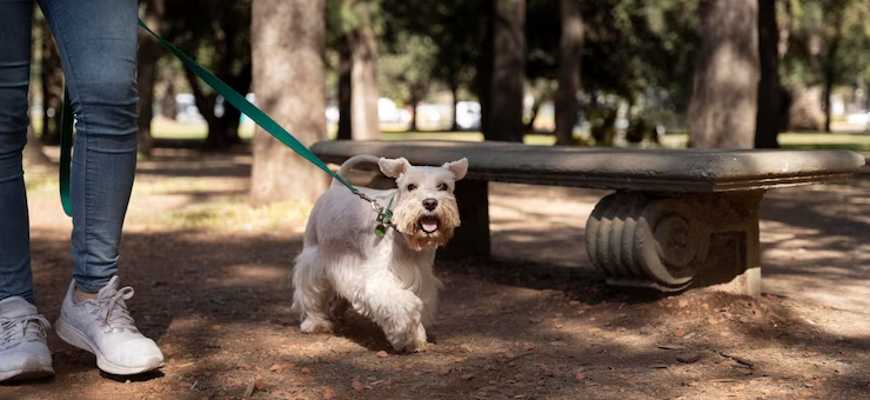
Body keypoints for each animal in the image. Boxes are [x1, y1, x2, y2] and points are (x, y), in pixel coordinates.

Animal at [292, 155, 470, 352]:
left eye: (443, 186)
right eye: (411, 186)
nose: (430, 203)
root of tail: (335, 187)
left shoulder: (422, 278)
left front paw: (417, 338)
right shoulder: (379, 279)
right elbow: (406, 306)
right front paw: (406, 336)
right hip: (314, 256)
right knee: (310, 292)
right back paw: (315, 322)